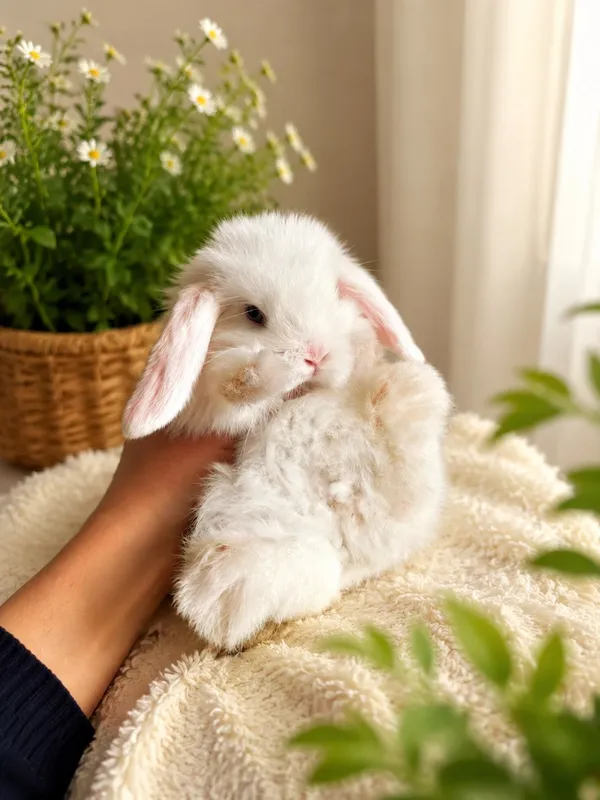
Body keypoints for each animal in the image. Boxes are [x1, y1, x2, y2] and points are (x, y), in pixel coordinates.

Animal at [123, 212, 452, 652]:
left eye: (332, 294)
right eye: (253, 314)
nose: (315, 354)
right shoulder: (209, 404)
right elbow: (233, 384)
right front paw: (269, 369)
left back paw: (404, 394)